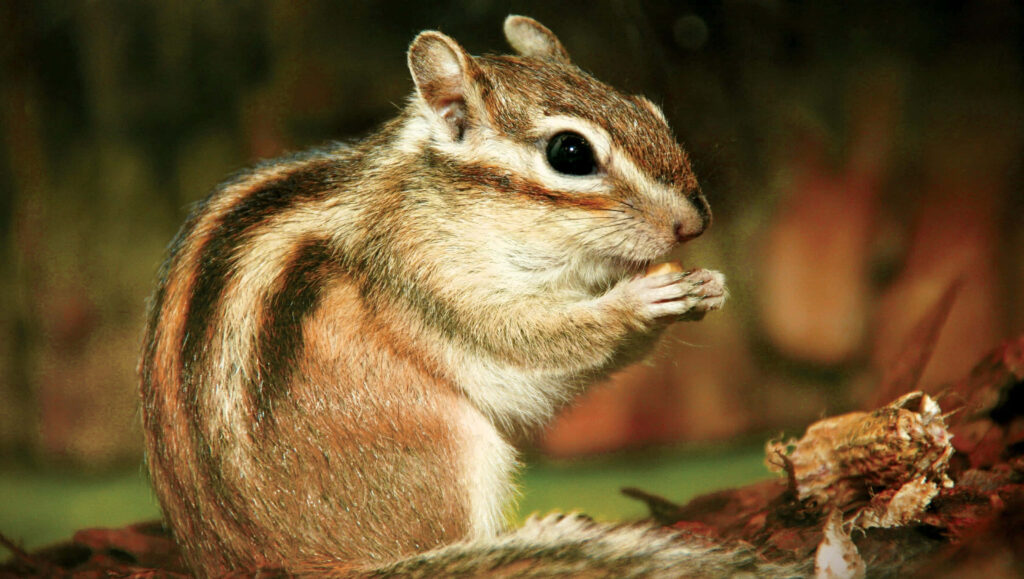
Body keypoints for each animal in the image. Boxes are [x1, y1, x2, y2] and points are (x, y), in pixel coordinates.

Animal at [138, 15, 776, 578]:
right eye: (570, 153)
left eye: (649, 110)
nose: (695, 223)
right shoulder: (428, 282)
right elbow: (535, 350)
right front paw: (641, 299)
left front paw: (710, 285)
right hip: (445, 442)